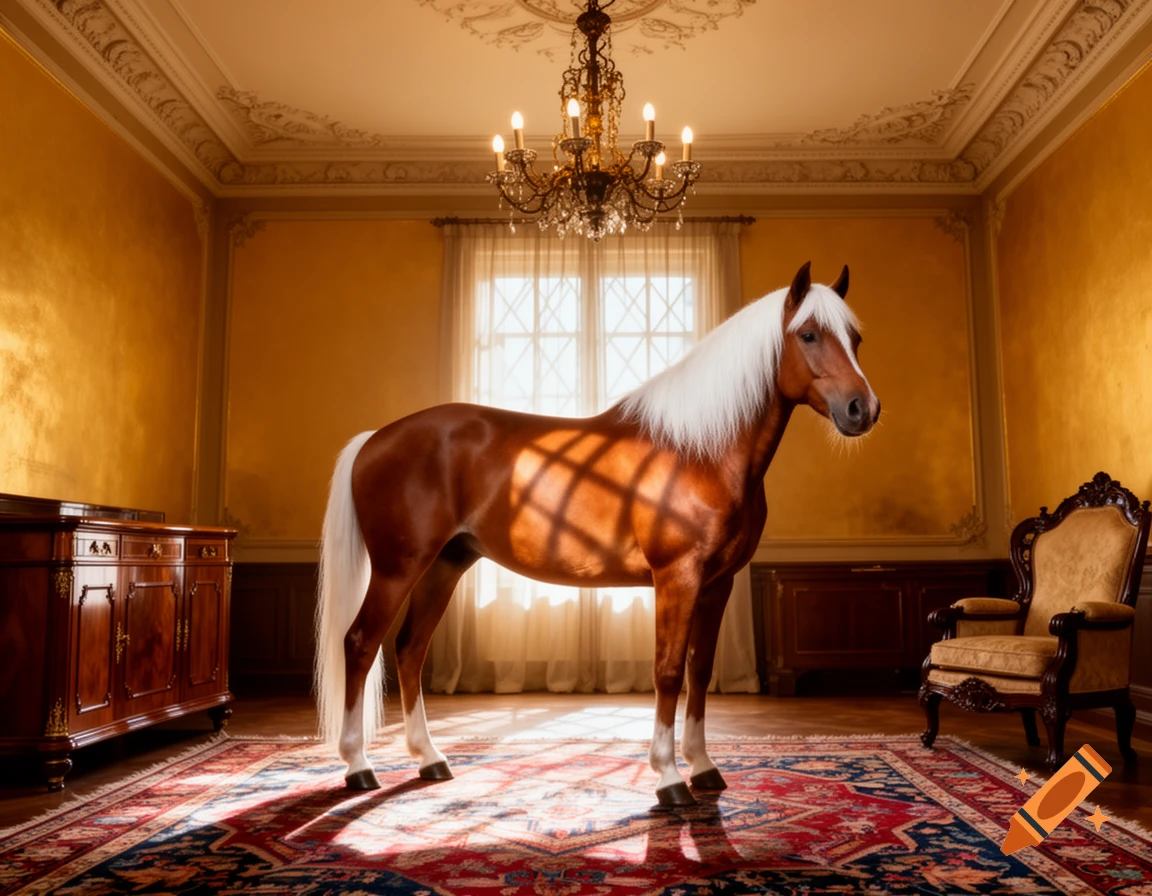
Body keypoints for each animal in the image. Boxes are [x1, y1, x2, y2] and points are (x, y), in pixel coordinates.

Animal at [314, 260, 880, 807]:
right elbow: (667, 671)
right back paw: (358, 766)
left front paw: (703, 768)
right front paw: (669, 778)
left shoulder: (718, 584)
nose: (863, 409)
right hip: (399, 568)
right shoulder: (677, 579)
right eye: (808, 334)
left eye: (855, 337)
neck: (700, 451)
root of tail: (375, 439)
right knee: (361, 644)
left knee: (410, 649)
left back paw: (429, 759)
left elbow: (699, 670)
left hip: (445, 565)